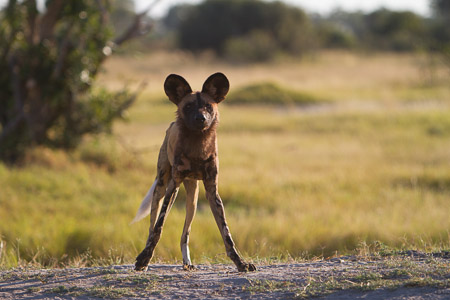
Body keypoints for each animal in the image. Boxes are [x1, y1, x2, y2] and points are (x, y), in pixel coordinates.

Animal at [132, 72, 255, 272]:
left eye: (208, 106)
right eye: (188, 106)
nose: (200, 118)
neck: (198, 147)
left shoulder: (212, 191)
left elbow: (226, 233)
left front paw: (240, 263)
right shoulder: (172, 187)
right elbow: (159, 227)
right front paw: (144, 258)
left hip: (193, 201)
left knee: (185, 233)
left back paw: (187, 262)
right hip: (162, 188)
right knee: (152, 227)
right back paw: (145, 258)